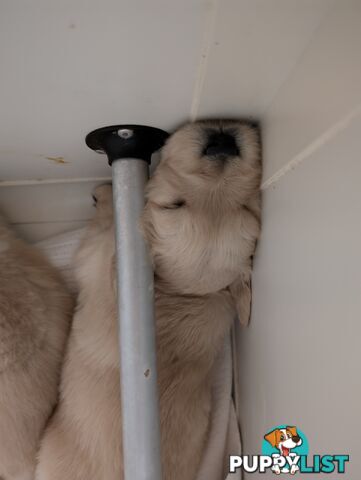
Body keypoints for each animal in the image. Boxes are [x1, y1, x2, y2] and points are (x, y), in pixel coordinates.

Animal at [36, 117, 260, 480]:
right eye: (175, 204)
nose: (222, 144)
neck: (182, 292)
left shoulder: (97, 253)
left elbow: (105, 227)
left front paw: (104, 194)